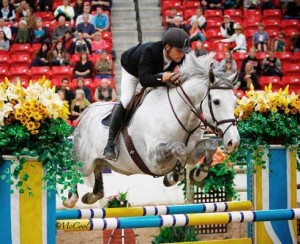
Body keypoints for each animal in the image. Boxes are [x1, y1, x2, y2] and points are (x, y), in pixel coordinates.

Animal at [62, 53, 239, 208]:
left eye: (235, 102)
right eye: (216, 101)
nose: (234, 142)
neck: (183, 117)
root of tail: (85, 114)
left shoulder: (192, 153)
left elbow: (210, 145)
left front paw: (199, 173)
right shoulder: (153, 160)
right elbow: (179, 148)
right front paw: (173, 176)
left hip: (100, 161)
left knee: (98, 177)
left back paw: (91, 197)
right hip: (84, 161)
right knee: (74, 170)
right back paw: (70, 200)